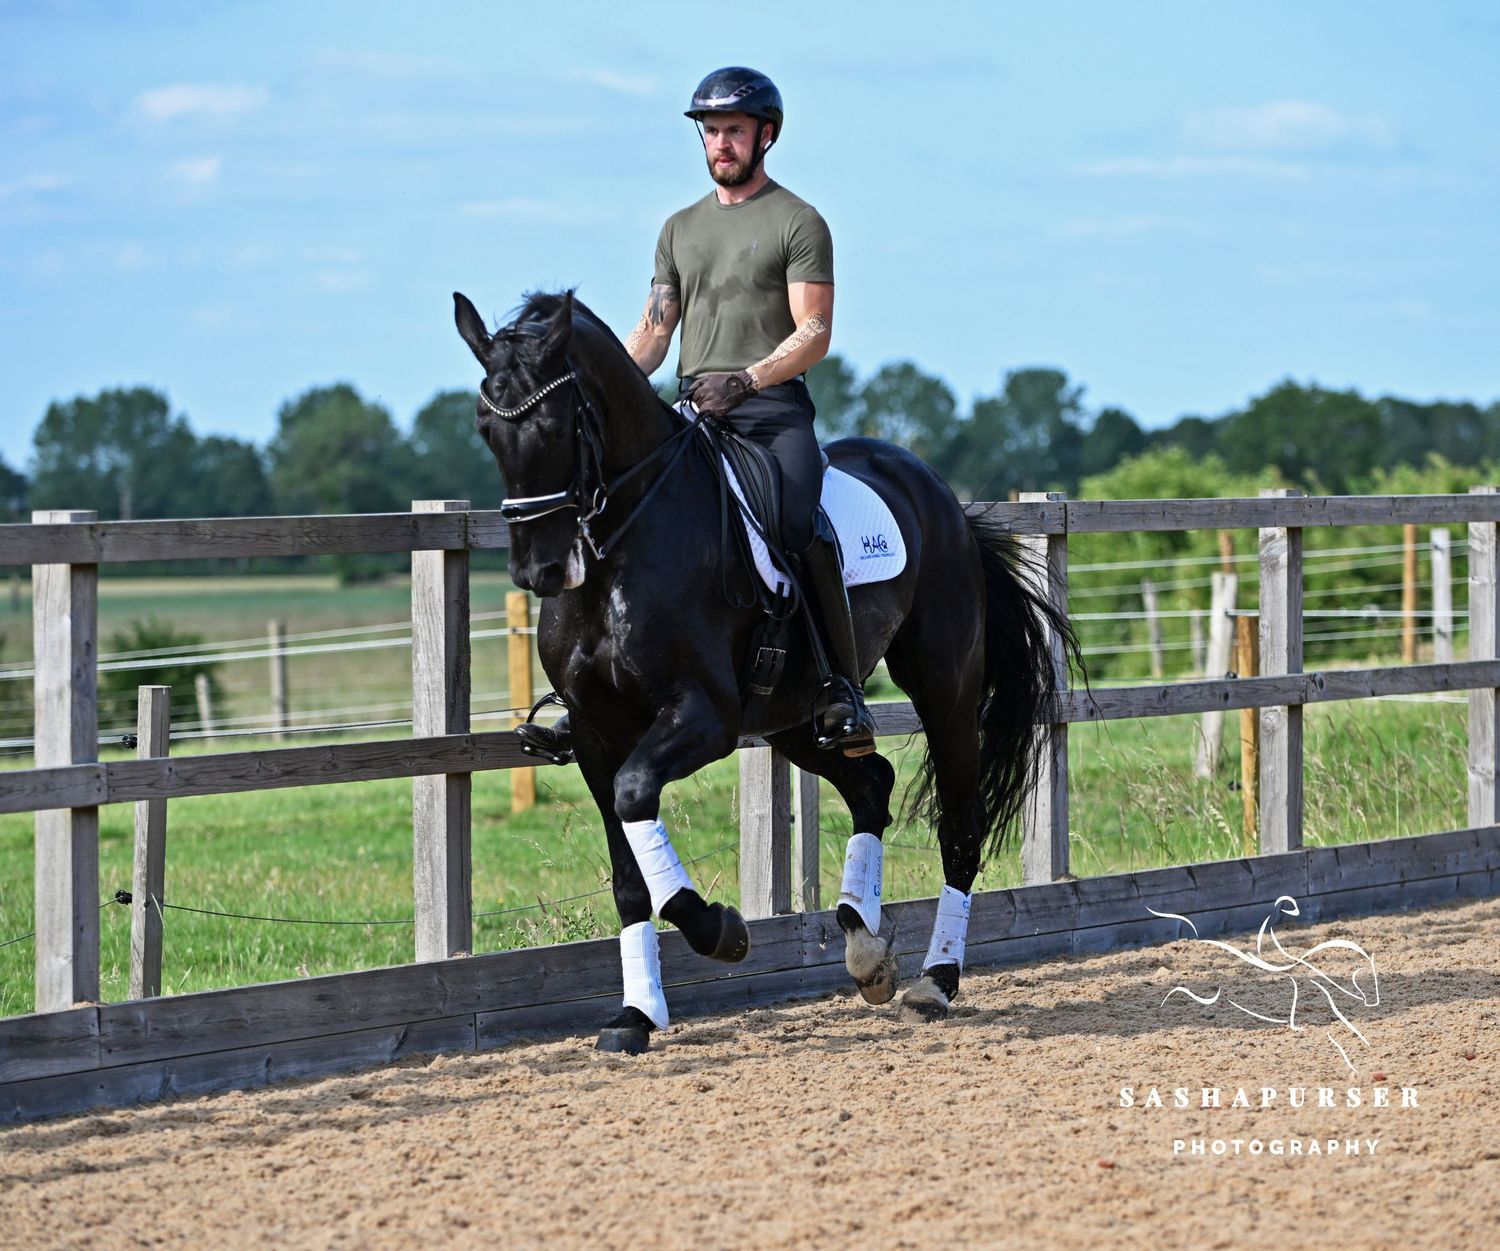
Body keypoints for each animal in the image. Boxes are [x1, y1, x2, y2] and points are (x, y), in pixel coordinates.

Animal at [454, 288, 1078, 1055]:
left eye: (555, 424)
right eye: (485, 425)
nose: (540, 571)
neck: (620, 552)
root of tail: (941, 495)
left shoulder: (704, 716)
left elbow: (636, 795)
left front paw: (719, 930)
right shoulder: (598, 733)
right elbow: (628, 873)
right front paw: (636, 1015)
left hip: (946, 689)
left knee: (958, 824)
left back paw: (936, 980)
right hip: (793, 718)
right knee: (871, 783)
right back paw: (863, 946)